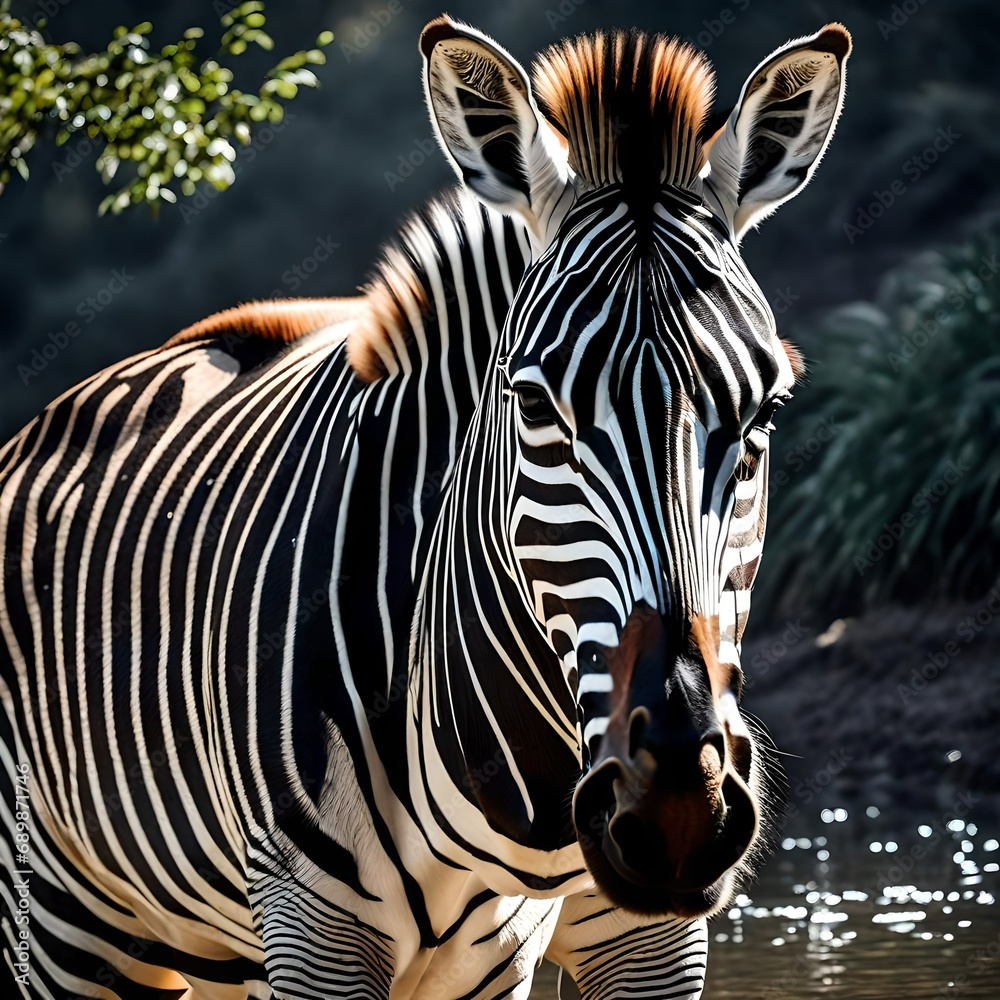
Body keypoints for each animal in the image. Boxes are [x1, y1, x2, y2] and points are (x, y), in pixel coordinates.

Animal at [1, 15, 850, 1000]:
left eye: (765, 412)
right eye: (533, 407)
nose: (678, 799)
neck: (525, 797)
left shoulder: (636, 944)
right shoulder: (315, 933)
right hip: (65, 917)